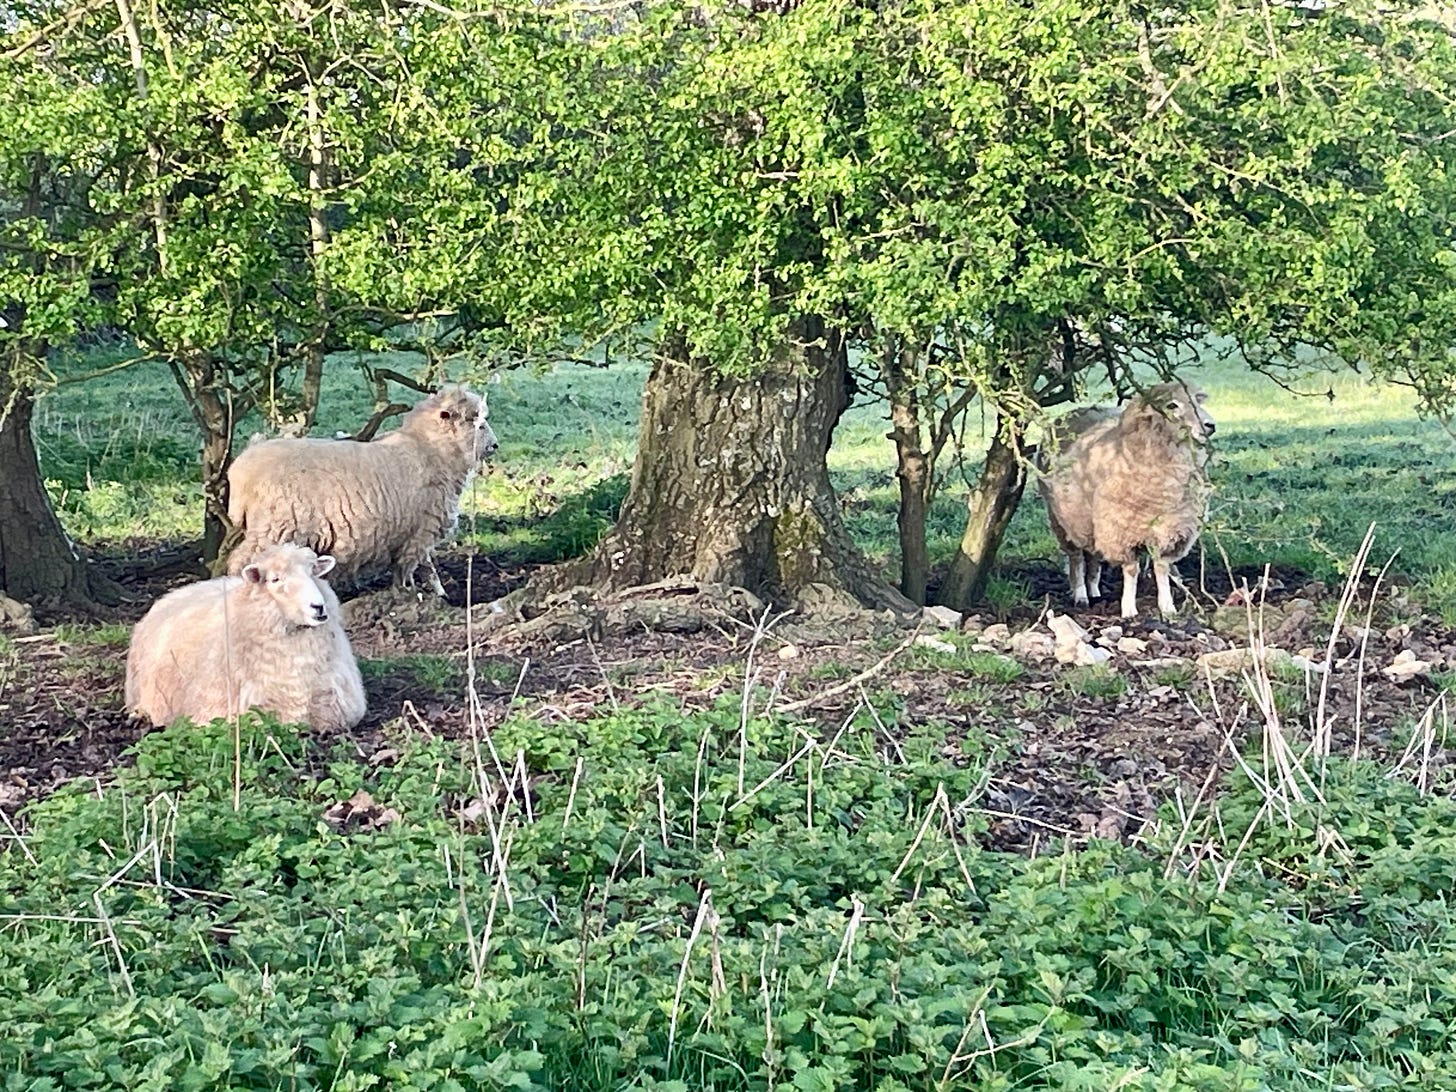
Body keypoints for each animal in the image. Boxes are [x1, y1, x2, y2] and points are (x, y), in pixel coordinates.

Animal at [225, 385, 498, 596]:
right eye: (477, 422)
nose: (495, 445)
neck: (430, 448)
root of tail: (239, 472)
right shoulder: (422, 528)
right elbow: (410, 566)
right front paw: (409, 594)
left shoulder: (414, 530)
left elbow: (423, 565)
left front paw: (432, 594)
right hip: (276, 527)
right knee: (242, 562)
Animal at [1036, 380, 1216, 619]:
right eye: (1172, 405)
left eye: (1197, 400)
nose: (1210, 425)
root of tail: (1074, 411)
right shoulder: (1121, 531)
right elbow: (1131, 570)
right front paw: (1129, 609)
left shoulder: (1167, 529)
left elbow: (1161, 567)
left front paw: (1167, 607)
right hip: (1063, 520)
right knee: (1077, 558)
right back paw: (1081, 596)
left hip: (1092, 521)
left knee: (1094, 556)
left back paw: (1094, 591)